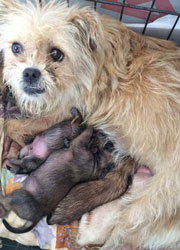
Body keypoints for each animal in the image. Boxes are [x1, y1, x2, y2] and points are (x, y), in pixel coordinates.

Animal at [0, 0, 180, 250]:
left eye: (56, 54)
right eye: (16, 48)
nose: (30, 73)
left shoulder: (64, 111)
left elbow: (12, 126)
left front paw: (22, 141)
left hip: (143, 212)